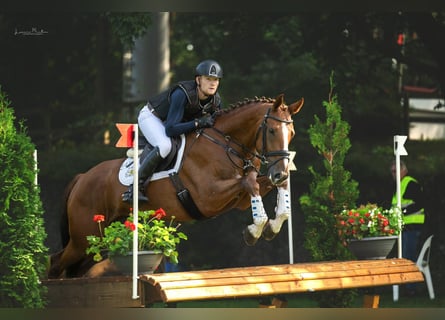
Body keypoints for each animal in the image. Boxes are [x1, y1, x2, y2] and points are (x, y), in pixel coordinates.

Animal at [48, 94, 304, 278]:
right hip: (85, 237)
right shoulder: (208, 198)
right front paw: (256, 229)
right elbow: (250, 182)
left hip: (98, 241)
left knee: (74, 270)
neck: (226, 143)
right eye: (272, 130)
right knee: (56, 262)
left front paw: (272, 225)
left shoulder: (238, 199)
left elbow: (267, 186)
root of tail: (82, 177)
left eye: (291, 133)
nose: (279, 172)